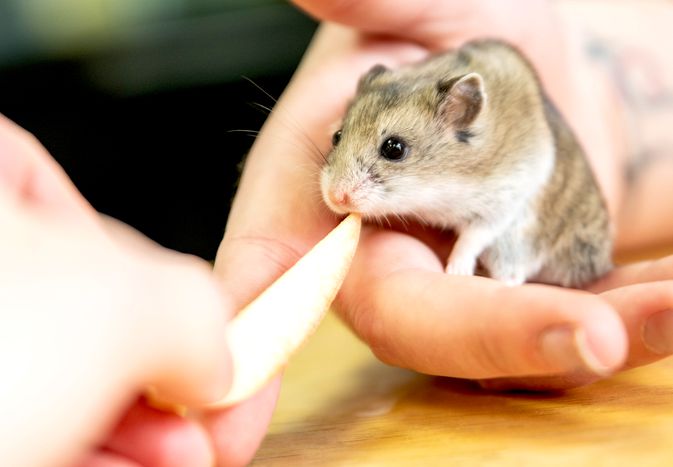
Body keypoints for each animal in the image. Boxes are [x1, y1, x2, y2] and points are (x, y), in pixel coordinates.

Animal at [322, 40, 612, 288]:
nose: (336, 198)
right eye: (337, 136)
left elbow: (473, 237)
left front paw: (455, 272)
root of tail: (603, 264)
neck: (441, 183)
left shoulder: (502, 199)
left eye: (394, 149)